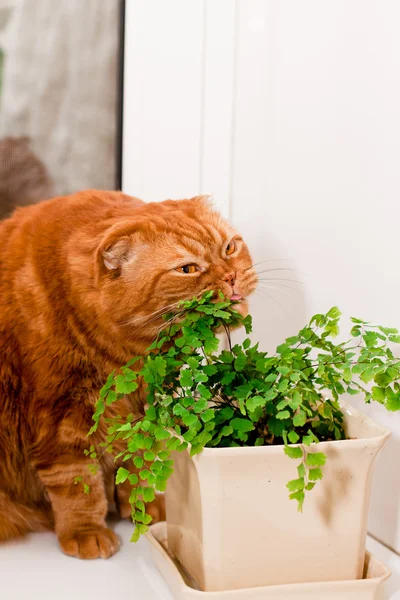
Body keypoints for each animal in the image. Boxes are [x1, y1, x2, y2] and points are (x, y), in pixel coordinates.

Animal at [0, 191, 256, 556]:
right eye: (188, 269)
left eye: (230, 248)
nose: (231, 276)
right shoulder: (59, 421)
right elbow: (76, 484)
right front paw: (86, 531)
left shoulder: (142, 411)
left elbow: (139, 464)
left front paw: (143, 508)